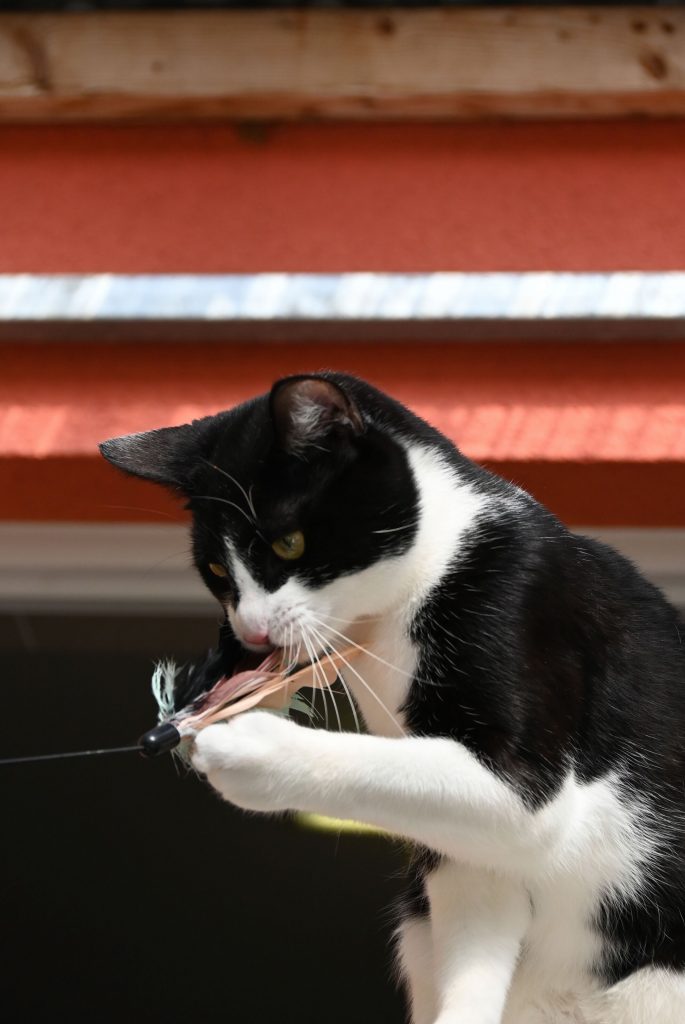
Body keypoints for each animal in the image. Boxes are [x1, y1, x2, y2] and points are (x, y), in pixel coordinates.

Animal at [100, 372, 685, 1024]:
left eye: (289, 544)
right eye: (216, 571)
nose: (249, 632)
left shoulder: (519, 631)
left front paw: (253, 747)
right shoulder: (467, 852)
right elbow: (475, 919)